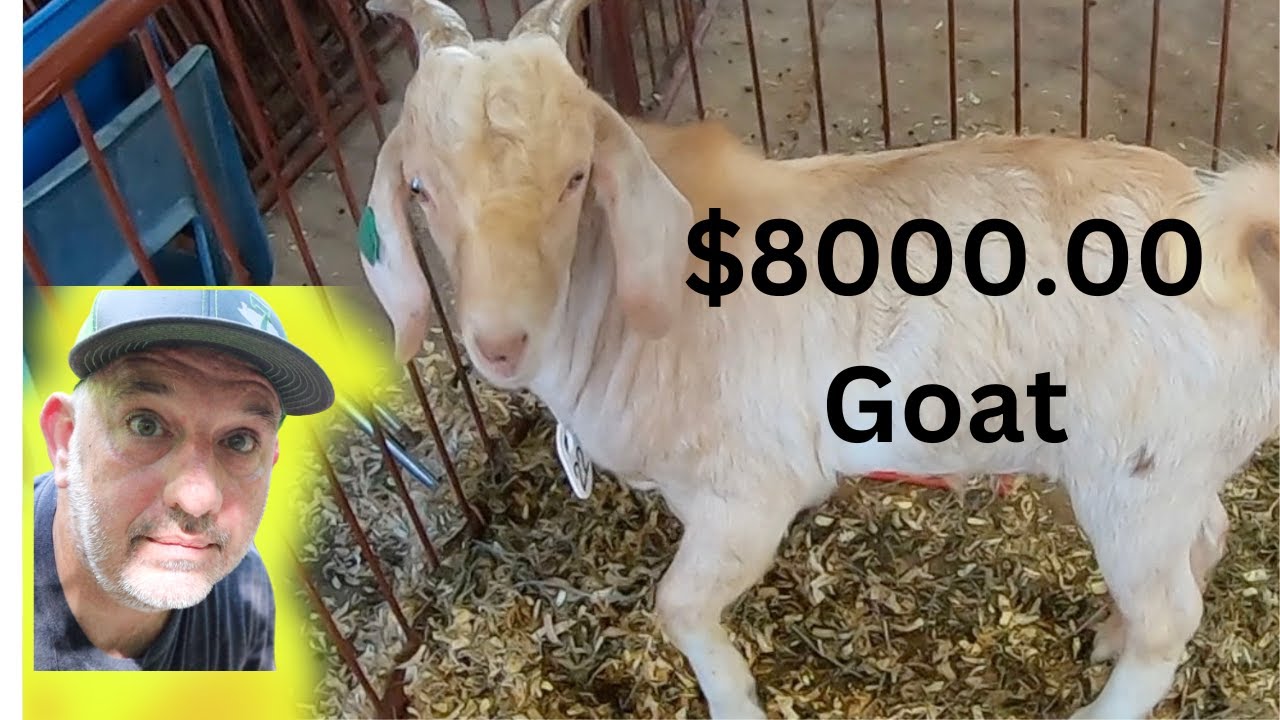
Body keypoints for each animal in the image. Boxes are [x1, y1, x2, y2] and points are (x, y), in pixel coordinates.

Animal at [357, 1, 1280, 717]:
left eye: (577, 177)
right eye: (420, 188)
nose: (499, 341)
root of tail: (1234, 248)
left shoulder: (751, 492)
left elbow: (678, 605)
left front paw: (733, 698)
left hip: (1134, 478)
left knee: (1171, 618)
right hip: (1175, 468)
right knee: (1206, 539)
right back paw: (1109, 631)